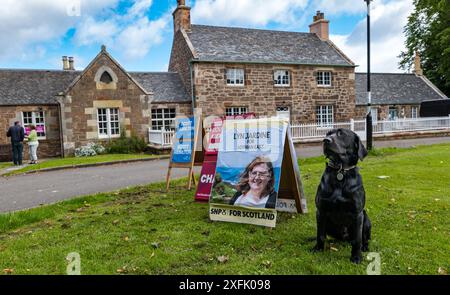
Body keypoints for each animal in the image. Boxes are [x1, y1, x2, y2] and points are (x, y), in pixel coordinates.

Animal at [312, 128, 372, 264]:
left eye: (341, 134)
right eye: (328, 134)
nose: (325, 140)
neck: (340, 171)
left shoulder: (357, 214)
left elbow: (357, 239)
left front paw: (356, 257)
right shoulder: (321, 211)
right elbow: (320, 234)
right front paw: (318, 249)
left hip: (366, 219)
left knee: (364, 238)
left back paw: (365, 247)